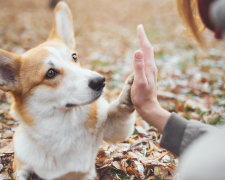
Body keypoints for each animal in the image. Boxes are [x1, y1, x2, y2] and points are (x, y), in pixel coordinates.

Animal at [0, 1, 134, 180]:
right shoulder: (23, 164)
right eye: (50, 73)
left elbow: (119, 114)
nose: (100, 81)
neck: (65, 128)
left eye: (74, 57)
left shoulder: (112, 129)